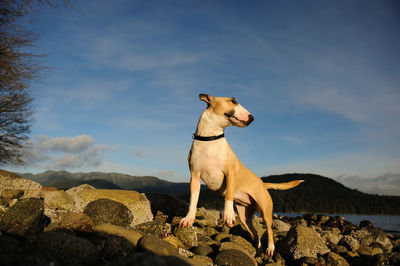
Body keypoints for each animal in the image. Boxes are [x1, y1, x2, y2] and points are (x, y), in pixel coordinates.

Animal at [179, 93, 304, 256]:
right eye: (233, 101)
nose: (252, 118)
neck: (210, 139)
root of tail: (262, 183)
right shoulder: (194, 176)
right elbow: (193, 200)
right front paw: (188, 219)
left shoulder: (230, 173)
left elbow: (228, 195)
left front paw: (228, 215)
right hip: (245, 217)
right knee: (255, 233)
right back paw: (258, 249)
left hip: (265, 211)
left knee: (269, 231)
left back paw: (270, 248)